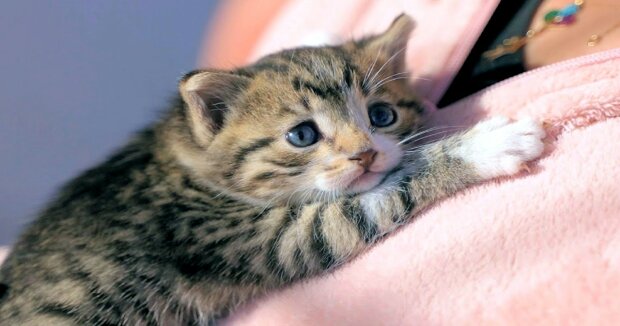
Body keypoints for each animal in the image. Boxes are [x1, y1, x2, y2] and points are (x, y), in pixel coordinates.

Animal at [0, 15, 544, 326]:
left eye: (382, 115)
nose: (365, 155)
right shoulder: (244, 236)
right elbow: (360, 208)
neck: (184, 158)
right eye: (303, 135)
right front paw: (484, 145)